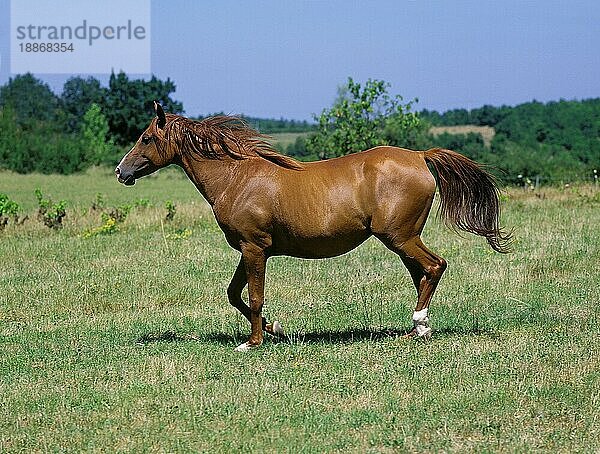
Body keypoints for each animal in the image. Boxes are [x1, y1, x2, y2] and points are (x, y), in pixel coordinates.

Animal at [117, 102, 510, 352]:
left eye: (146, 138)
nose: (122, 172)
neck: (237, 177)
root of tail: (419, 156)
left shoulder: (254, 248)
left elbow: (254, 297)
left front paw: (253, 342)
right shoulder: (249, 250)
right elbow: (233, 294)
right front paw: (275, 329)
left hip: (399, 237)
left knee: (434, 266)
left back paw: (419, 325)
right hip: (404, 240)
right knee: (423, 274)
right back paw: (418, 329)